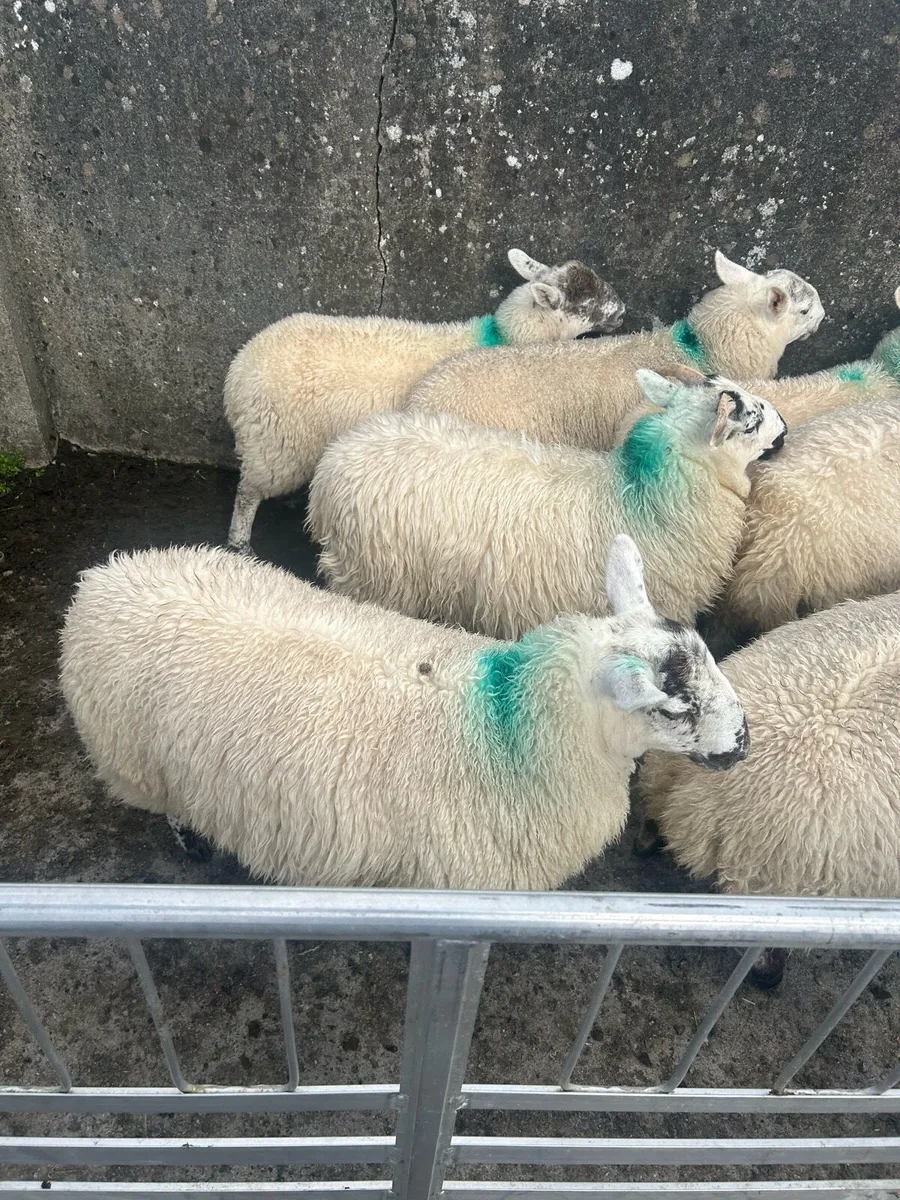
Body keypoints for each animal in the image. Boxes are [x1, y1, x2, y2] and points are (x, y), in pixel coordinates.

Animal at [59, 537, 748, 892]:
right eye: (675, 705)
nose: (743, 739)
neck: (511, 729)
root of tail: (102, 578)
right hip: (140, 762)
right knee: (167, 804)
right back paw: (194, 842)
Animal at [224, 249, 625, 551]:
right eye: (586, 302)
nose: (623, 310)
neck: (504, 338)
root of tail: (239, 369)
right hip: (272, 443)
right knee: (247, 493)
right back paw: (240, 543)